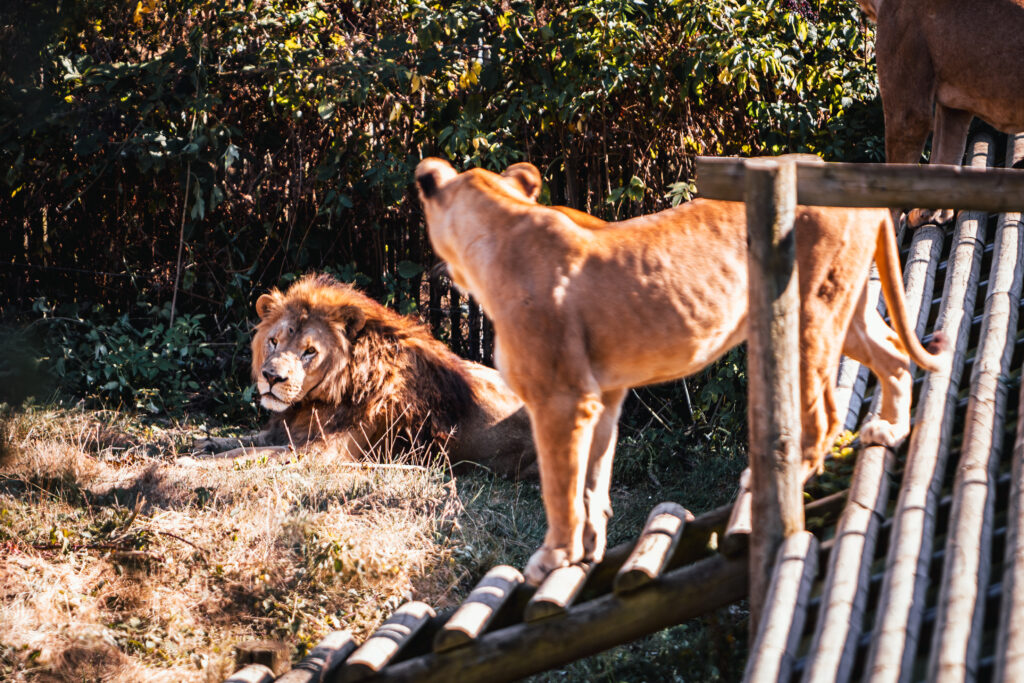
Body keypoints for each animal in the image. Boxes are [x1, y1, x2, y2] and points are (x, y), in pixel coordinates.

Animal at [194, 274, 540, 481]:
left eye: (310, 351)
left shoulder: (322, 452)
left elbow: (248, 452)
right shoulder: (285, 430)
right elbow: (242, 440)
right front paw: (202, 443)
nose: (270, 377)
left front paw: (192, 463)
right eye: (274, 342)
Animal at [415, 157, 950, 585]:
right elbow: (592, 477)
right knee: (894, 355)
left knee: (824, 416)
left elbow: (560, 483)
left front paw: (553, 558)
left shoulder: (560, 398)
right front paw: (586, 551)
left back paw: (766, 485)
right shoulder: (603, 393)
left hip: (806, 314)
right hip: (847, 307)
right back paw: (889, 430)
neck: (502, 221)